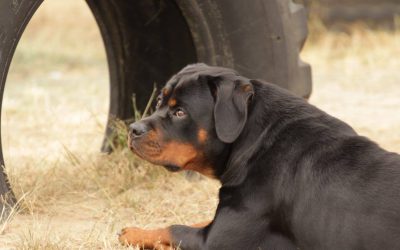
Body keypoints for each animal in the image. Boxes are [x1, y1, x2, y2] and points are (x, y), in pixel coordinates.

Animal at [118, 64, 400, 250]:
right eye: (159, 102)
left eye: (180, 112)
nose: (133, 130)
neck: (253, 141)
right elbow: (198, 220)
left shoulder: (215, 240)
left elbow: (174, 229)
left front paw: (133, 233)